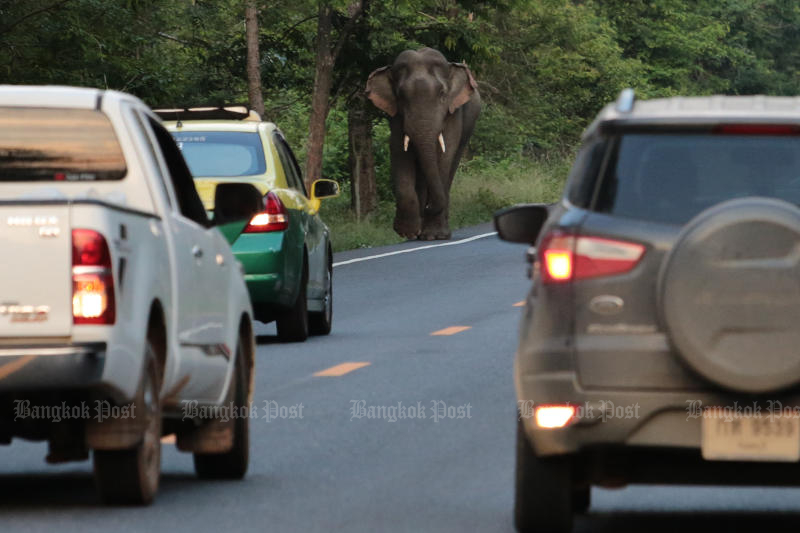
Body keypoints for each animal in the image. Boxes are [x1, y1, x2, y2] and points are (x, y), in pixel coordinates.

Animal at [368, 47, 482, 239]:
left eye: (442, 94)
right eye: (400, 96)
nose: (428, 208)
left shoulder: (453, 113)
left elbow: (444, 155)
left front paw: (434, 235)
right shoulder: (396, 116)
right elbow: (400, 152)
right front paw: (407, 232)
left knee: (451, 165)